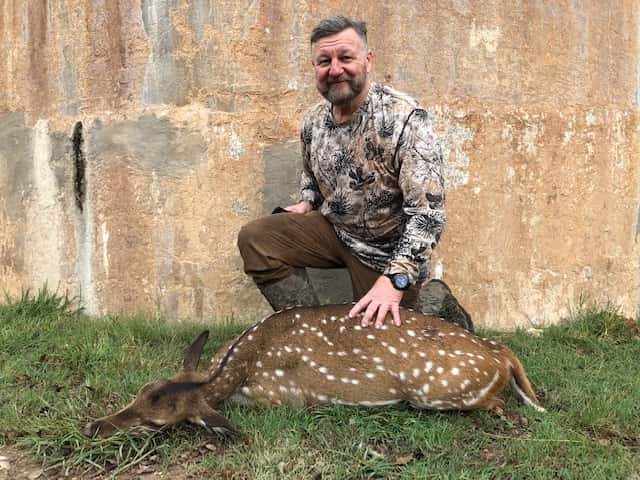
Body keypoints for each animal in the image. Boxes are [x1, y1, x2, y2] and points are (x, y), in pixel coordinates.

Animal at [83, 304, 544, 438]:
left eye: (155, 424)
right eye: (141, 391)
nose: (91, 427)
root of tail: (502, 355)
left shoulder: (282, 397)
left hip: (433, 390)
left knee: (495, 402)